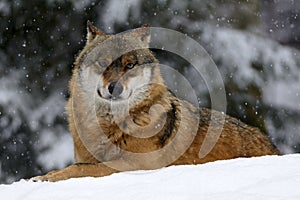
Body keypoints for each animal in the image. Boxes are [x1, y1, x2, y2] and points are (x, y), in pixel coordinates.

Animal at [32, 21, 278, 181]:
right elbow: (77, 165)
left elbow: (81, 169)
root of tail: (272, 146)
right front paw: (46, 175)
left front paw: (45, 178)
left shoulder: (134, 165)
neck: (110, 125)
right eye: (103, 63)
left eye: (130, 65)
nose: (115, 88)